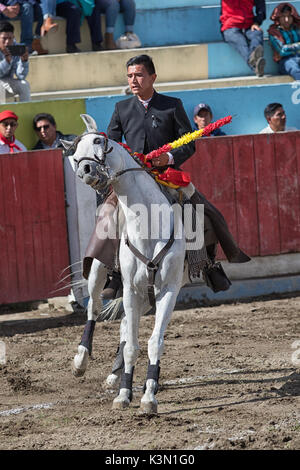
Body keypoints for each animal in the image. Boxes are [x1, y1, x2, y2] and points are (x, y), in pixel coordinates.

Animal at [63, 115, 197, 414]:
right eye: (74, 158)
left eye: (99, 140)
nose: (87, 170)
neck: (147, 224)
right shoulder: (132, 290)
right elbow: (132, 346)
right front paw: (124, 394)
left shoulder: (167, 291)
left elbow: (153, 342)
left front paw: (148, 396)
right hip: (99, 272)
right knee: (94, 308)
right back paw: (81, 361)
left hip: (145, 296)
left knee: (124, 324)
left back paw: (116, 375)